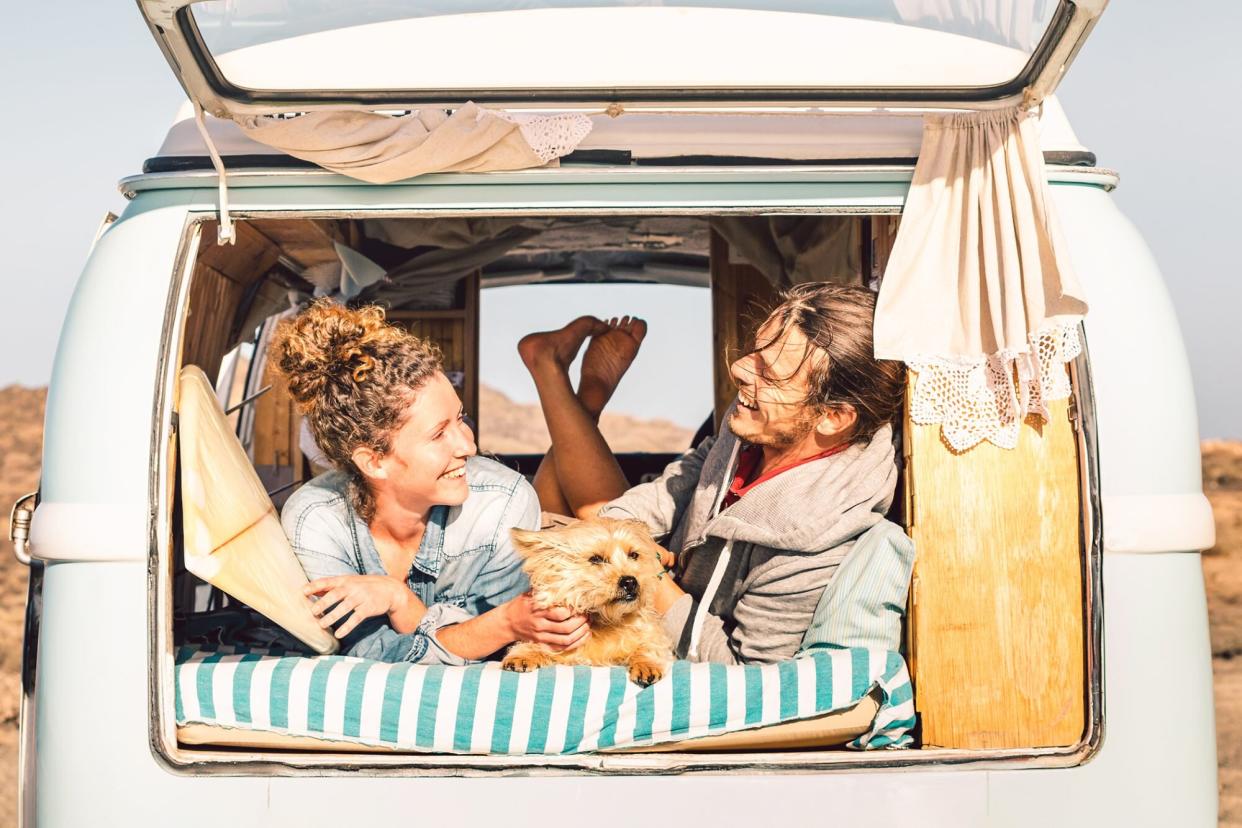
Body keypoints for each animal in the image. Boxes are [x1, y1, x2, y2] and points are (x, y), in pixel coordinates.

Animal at [499, 518, 675, 685]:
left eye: (633, 555)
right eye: (595, 559)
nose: (630, 582)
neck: (606, 620)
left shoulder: (652, 634)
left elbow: (649, 645)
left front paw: (647, 664)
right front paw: (524, 653)